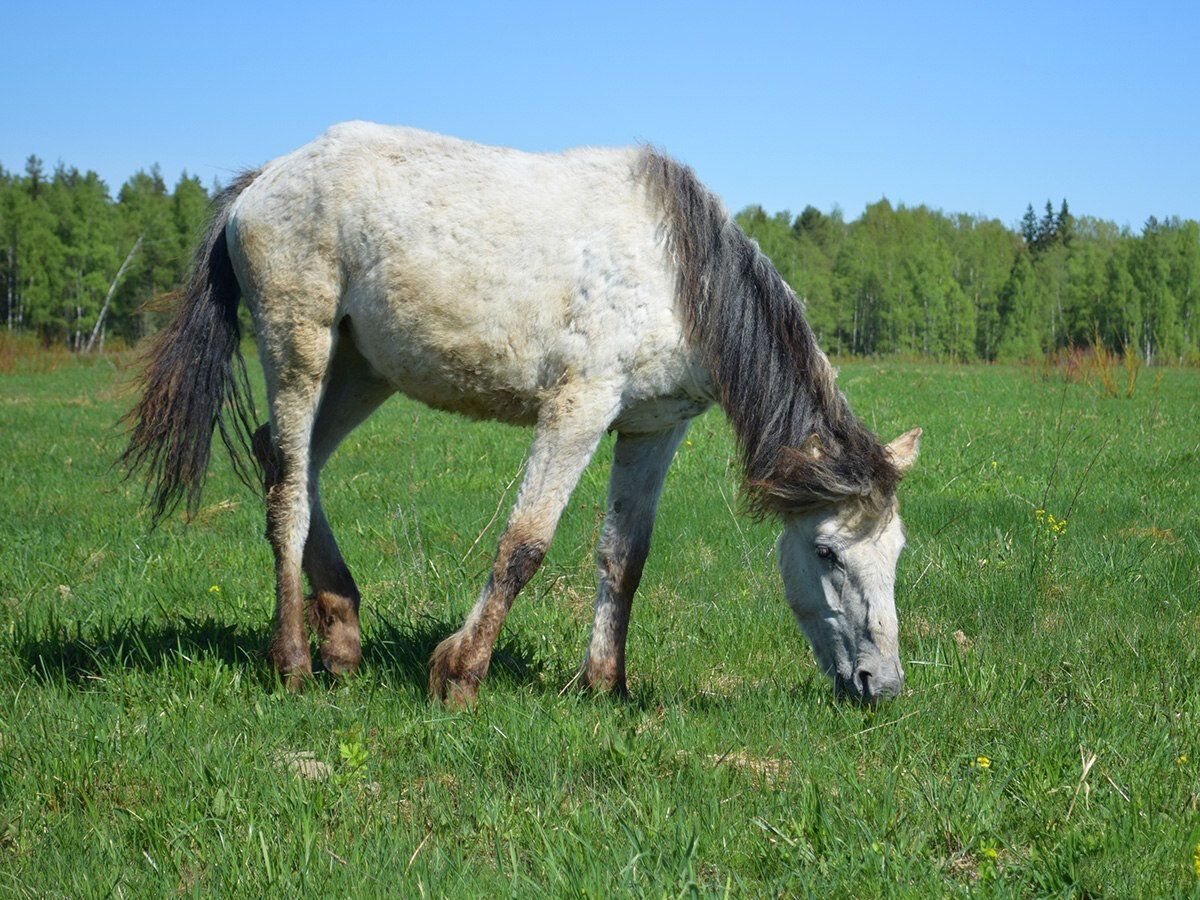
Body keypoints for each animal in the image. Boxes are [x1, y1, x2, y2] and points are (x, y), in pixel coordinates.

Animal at [121, 123, 921, 710]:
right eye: (827, 553)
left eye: (897, 552)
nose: (881, 686)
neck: (678, 275)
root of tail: (260, 182)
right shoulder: (578, 408)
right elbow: (524, 546)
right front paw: (459, 675)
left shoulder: (652, 428)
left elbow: (624, 558)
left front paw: (605, 687)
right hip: (299, 345)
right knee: (287, 490)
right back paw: (292, 661)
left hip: (360, 369)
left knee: (288, 462)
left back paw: (343, 637)